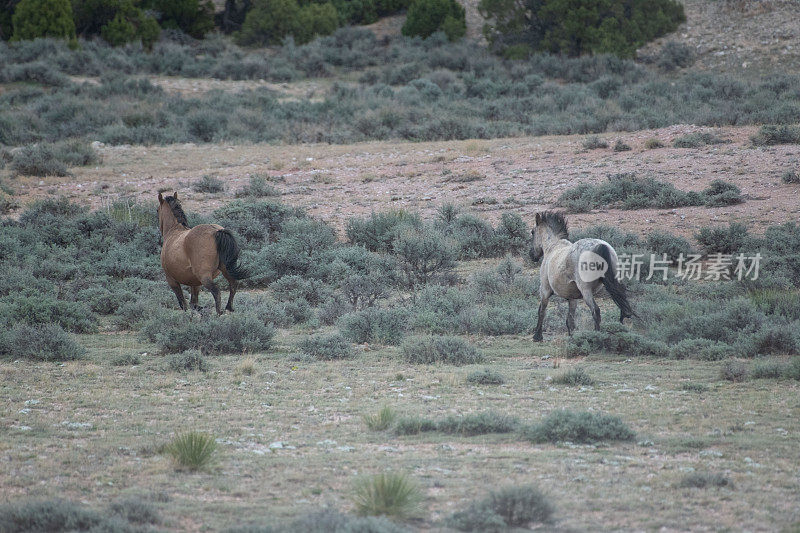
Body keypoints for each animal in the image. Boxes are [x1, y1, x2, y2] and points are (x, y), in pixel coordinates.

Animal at [528, 212, 636, 340]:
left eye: (532, 232)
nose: (532, 255)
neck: (552, 247)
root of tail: (600, 246)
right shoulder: (572, 298)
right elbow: (570, 320)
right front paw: (572, 338)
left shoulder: (544, 290)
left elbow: (541, 311)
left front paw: (537, 336)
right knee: (622, 305)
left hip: (586, 290)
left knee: (596, 311)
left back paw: (597, 336)